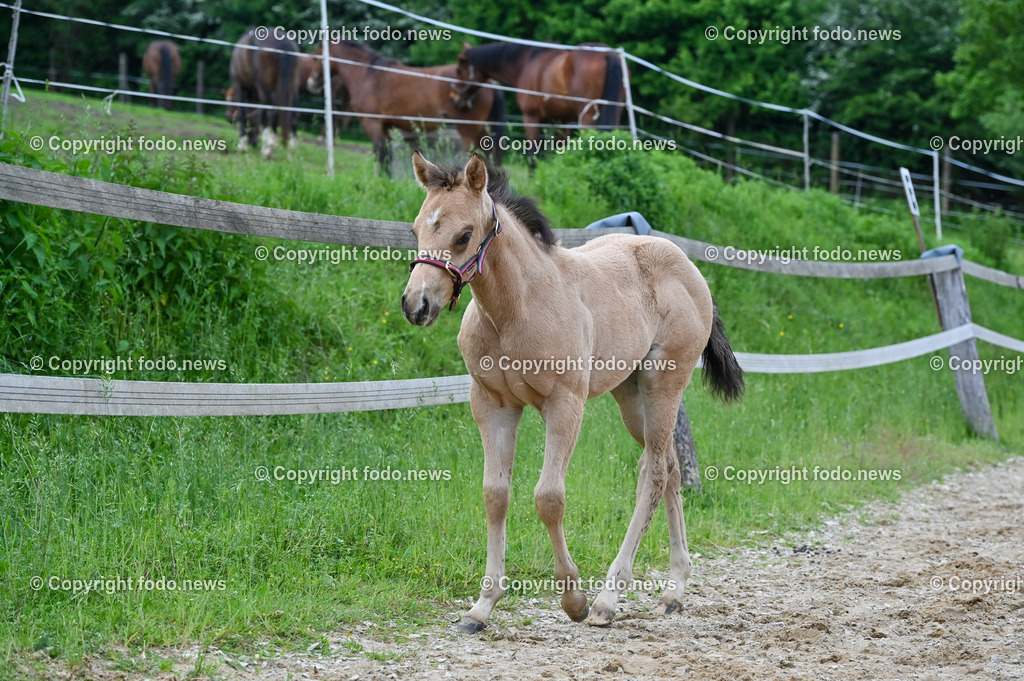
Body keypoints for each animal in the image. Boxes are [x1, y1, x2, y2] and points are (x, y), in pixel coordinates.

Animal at [228, 28, 302, 158]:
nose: (254, 143)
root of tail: (284, 43)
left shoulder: (238, 85)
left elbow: (242, 113)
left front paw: (242, 146)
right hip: (292, 88)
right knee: (293, 115)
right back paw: (291, 151)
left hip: (265, 87)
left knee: (271, 112)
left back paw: (268, 149)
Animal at [306, 41, 506, 172]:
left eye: (315, 58)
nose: (311, 84)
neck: (367, 75)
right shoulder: (385, 127)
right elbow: (387, 156)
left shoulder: (373, 123)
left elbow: (380, 155)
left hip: (469, 130)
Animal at [401, 152, 744, 632]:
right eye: (416, 229)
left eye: (463, 235)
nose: (416, 305)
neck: (516, 309)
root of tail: (689, 268)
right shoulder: (492, 406)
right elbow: (494, 495)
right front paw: (482, 607)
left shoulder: (564, 404)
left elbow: (549, 498)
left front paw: (574, 599)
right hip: (630, 394)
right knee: (671, 467)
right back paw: (674, 590)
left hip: (664, 383)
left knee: (653, 473)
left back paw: (608, 598)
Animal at [453, 42, 624, 163]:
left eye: (459, 71)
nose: (454, 98)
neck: (526, 62)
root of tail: (608, 54)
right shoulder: (561, 121)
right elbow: (560, 149)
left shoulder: (531, 116)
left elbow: (533, 153)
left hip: (587, 117)